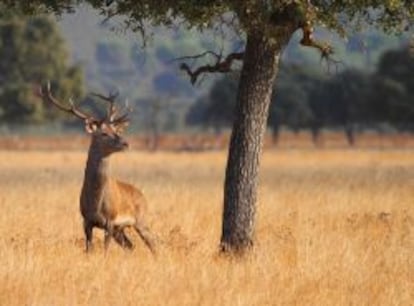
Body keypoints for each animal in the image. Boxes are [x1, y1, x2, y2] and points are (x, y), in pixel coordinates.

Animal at [38, 82, 156, 255]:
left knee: (154, 244)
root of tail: (143, 196)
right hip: (121, 229)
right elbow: (89, 249)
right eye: (103, 133)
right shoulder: (86, 221)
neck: (96, 203)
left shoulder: (110, 220)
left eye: (115, 131)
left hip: (141, 220)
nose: (125, 143)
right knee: (131, 246)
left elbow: (105, 251)